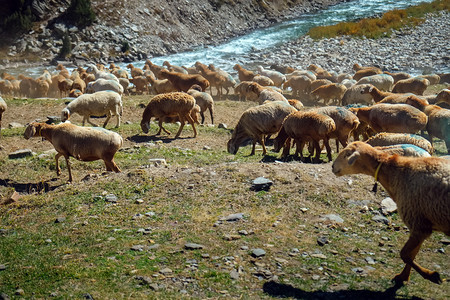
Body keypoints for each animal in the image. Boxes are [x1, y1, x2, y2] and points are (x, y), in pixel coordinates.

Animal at [330, 142, 450, 284]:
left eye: (346, 154)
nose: (332, 166)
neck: (396, 173)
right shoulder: (423, 225)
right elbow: (412, 254)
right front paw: (403, 277)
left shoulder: (418, 222)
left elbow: (405, 254)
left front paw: (431, 275)